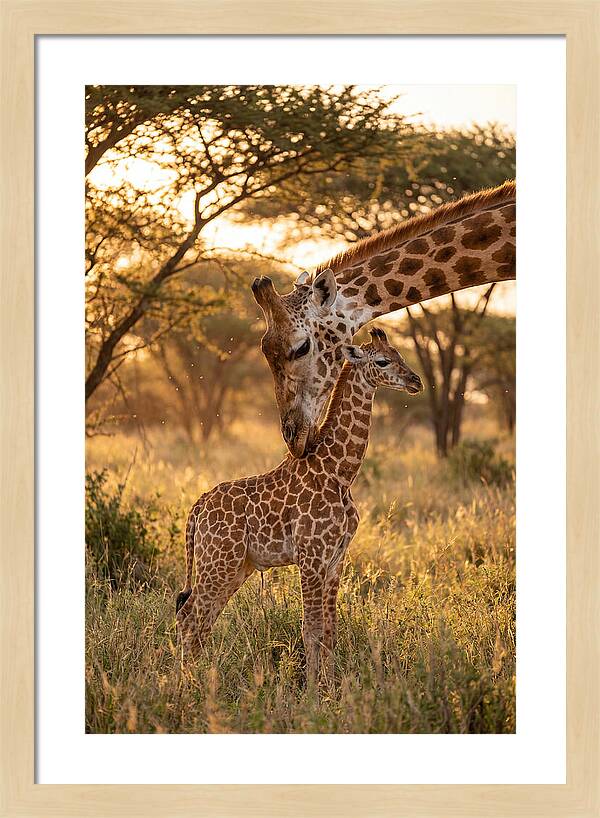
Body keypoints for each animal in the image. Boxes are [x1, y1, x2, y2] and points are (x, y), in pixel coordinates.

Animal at [176, 328, 423, 685]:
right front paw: (312, 692)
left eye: (399, 355)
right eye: (382, 361)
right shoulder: (311, 556)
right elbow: (311, 630)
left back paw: (199, 680)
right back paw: (186, 687)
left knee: (201, 619)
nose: (415, 381)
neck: (339, 472)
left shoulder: (335, 560)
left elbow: (331, 631)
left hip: (236, 566)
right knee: (189, 617)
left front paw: (332, 687)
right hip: (218, 561)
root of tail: (197, 508)